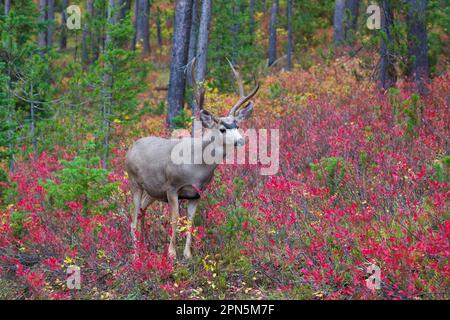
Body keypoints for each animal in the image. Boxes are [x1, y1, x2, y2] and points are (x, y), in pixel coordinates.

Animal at [125, 60, 260, 260]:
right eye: (222, 129)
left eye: (237, 125)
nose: (241, 140)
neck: (197, 166)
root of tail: (131, 148)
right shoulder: (172, 187)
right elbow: (174, 220)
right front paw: (172, 254)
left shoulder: (196, 194)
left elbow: (190, 222)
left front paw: (188, 255)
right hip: (135, 182)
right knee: (133, 219)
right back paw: (136, 255)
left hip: (153, 191)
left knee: (142, 211)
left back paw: (145, 246)